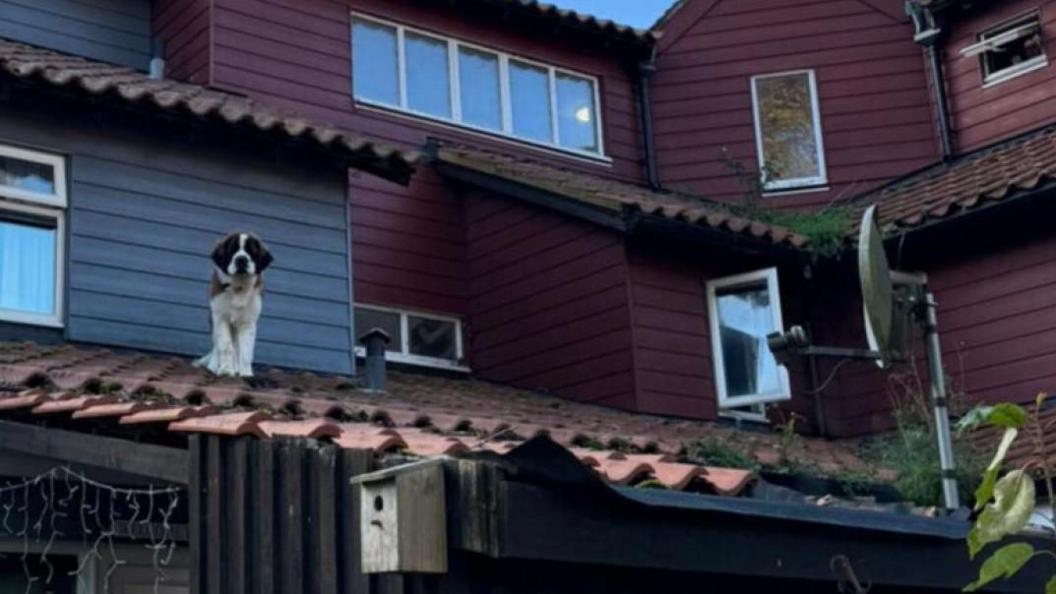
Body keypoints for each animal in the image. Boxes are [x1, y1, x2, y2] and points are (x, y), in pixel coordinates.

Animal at [195, 230, 272, 374]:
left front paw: (245, 373)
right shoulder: (220, 317)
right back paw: (215, 366)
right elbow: (225, 346)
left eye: (251, 251)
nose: (241, 259)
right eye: (232, 250)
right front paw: (226, 370)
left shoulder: (248, 322)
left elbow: (246, 351)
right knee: (218, 346)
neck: (239, 288)